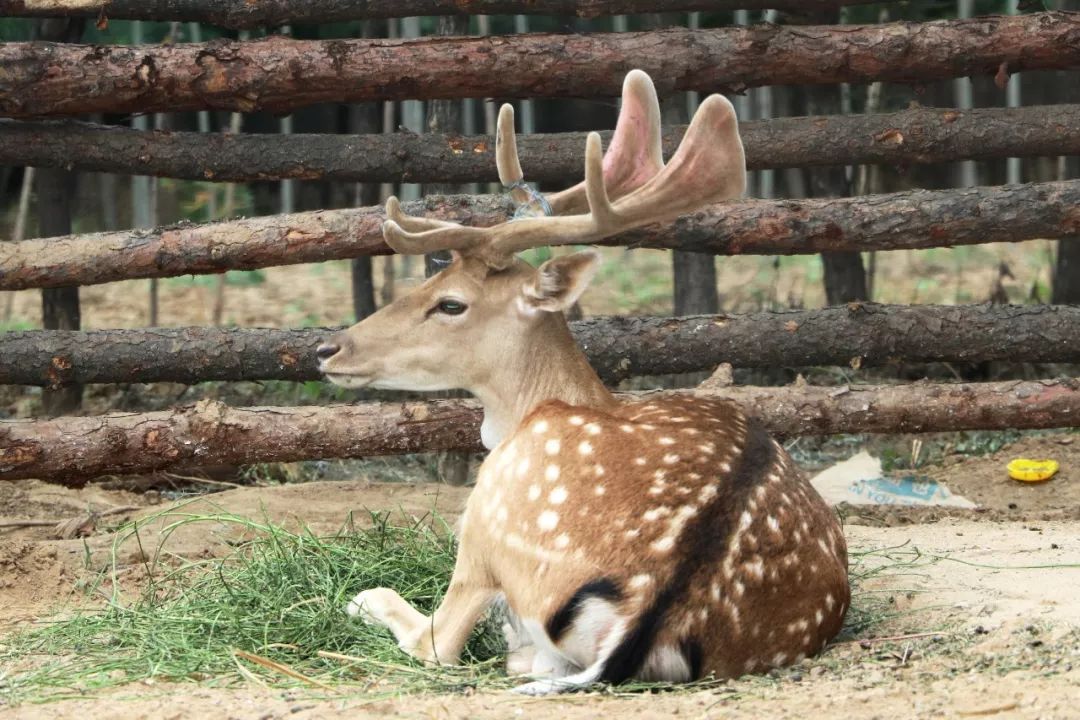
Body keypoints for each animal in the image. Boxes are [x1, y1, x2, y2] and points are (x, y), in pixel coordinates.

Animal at [315, 70, 846, 695]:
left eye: (451, 303)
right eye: (432, 279)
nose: (327, 349)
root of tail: (652, 611)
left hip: (488, 515)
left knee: (438, 641)